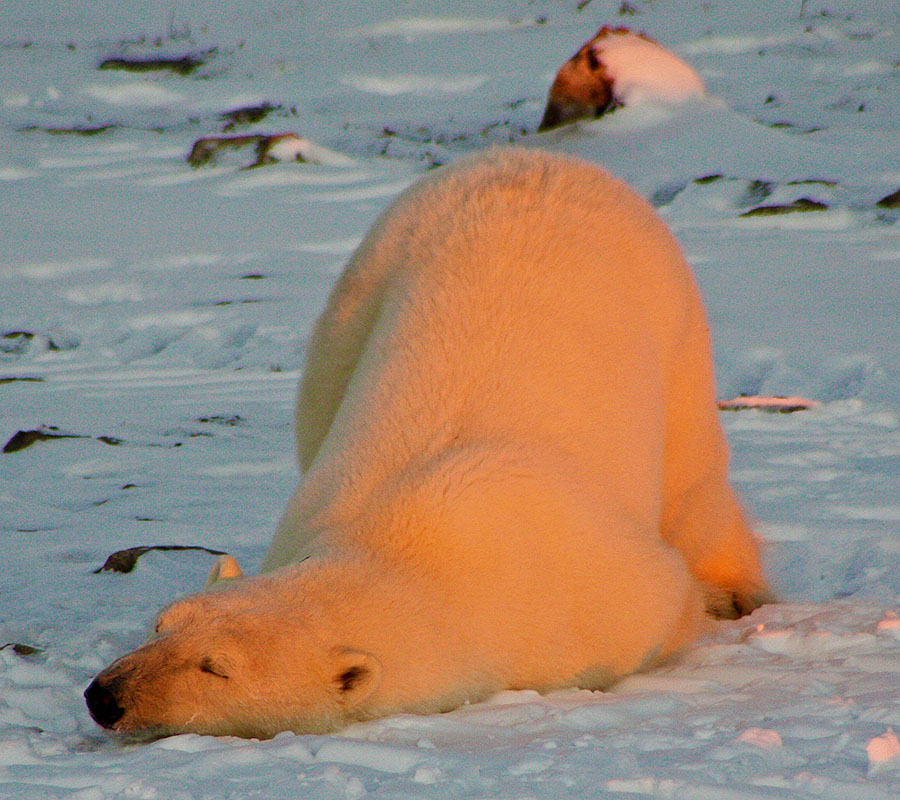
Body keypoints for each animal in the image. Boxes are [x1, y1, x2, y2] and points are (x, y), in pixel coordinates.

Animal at [84, 148, 768, 736]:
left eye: (216, 668)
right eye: (162, 624)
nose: (104, 695)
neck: (408, 546)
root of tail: (535, 155)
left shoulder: (594, 594)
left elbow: (664, 598)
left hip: (668, 313)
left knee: (692, 474)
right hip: (374, 269)